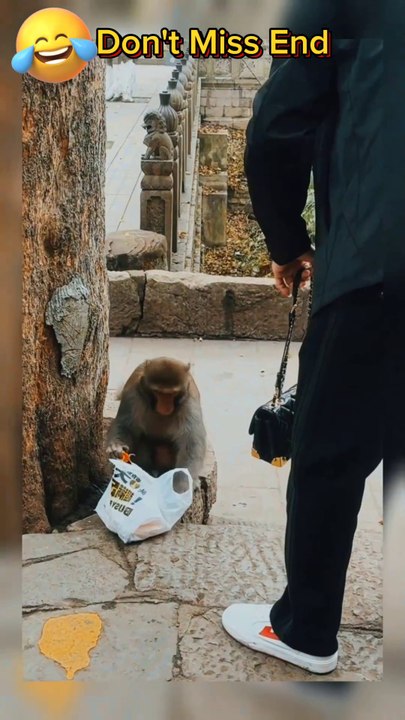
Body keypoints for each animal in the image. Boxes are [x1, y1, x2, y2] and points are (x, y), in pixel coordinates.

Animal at [105, 357, 207, 490]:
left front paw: (183, 484)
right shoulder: (133, 394)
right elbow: (125, 426)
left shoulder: (189, 401)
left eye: (171, 394)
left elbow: (191, 442)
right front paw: (116, 446)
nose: (164, 406)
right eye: (158, 392)